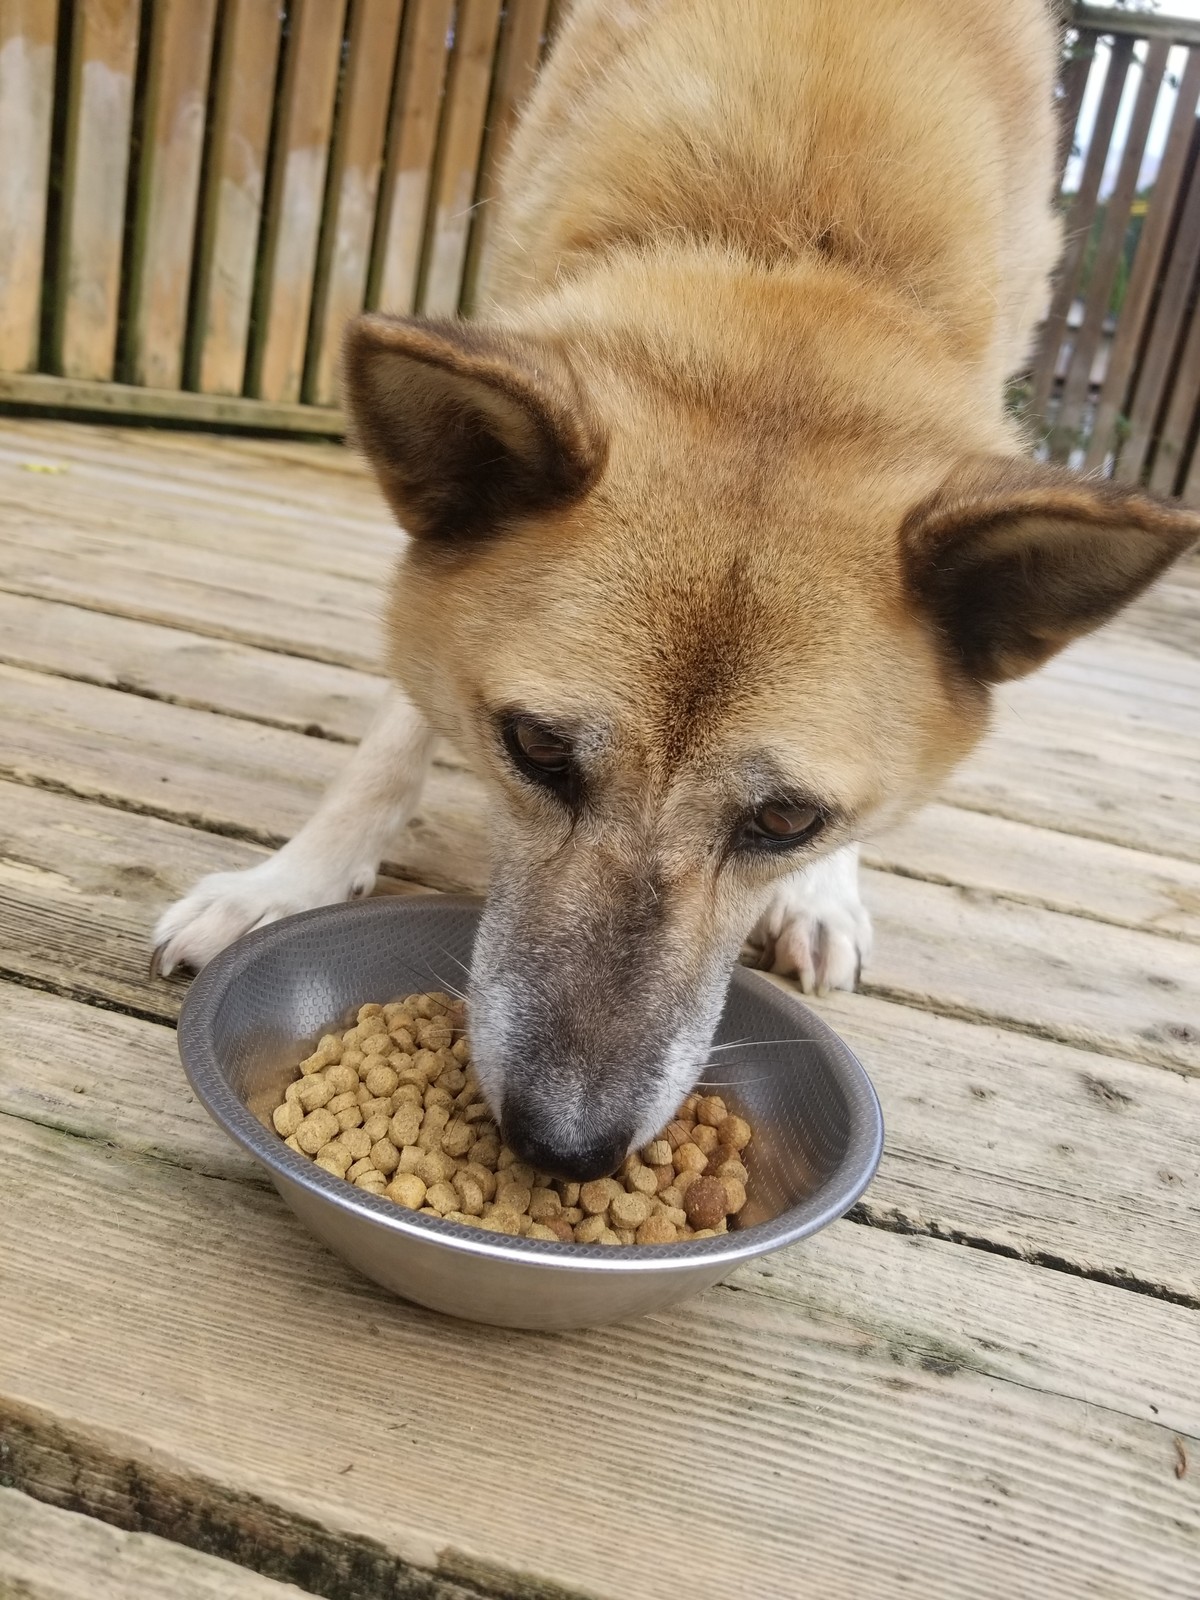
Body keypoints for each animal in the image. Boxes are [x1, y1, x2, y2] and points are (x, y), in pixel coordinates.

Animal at [154, 0, 1198, 1179]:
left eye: (787, 817)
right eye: (536, 750)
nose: (566, 1148)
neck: (792, 244)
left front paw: (821, 883)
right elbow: (394, 736)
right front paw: (289, 883)